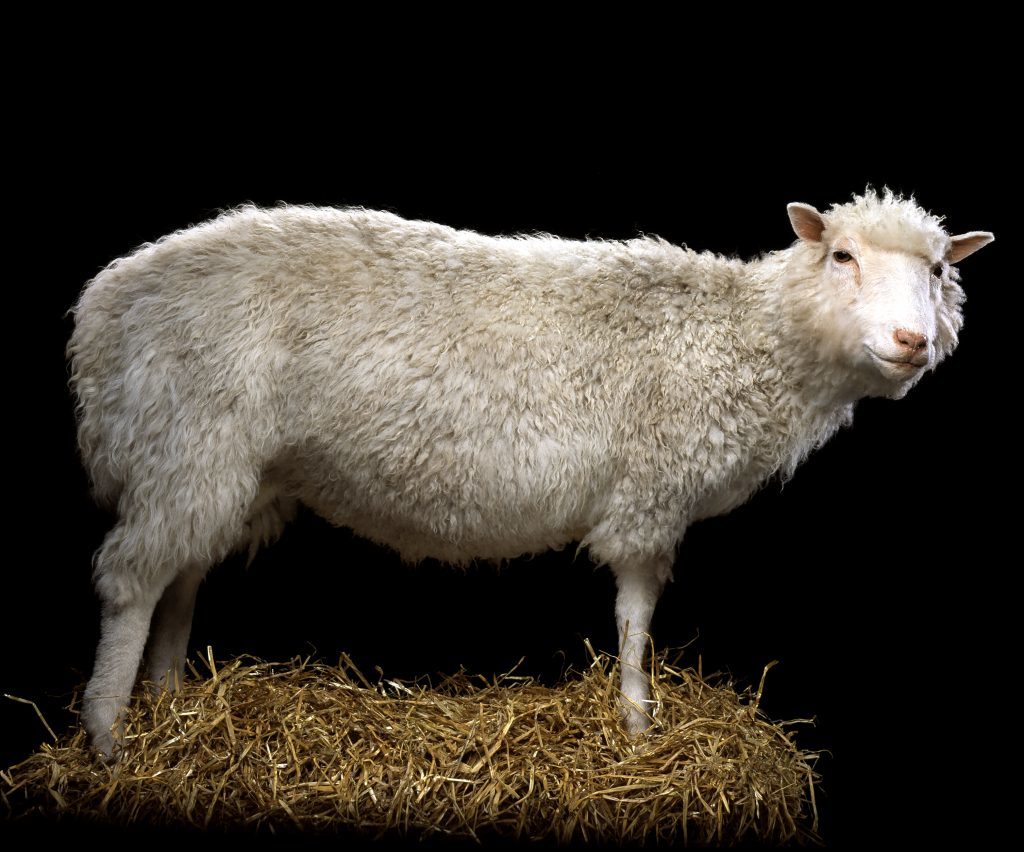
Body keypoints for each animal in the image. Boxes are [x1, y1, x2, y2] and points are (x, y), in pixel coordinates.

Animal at [68, 190, 993, 756]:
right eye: (841, 256)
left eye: (940, 271)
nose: (911, 341)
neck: (739, 338)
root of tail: (104, 310)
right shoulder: (649, 494)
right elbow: (633, 620)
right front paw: (637, 729)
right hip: (186, 434)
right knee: (130, 583)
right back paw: (112, 740)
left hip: (215, 464)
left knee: (182, 574)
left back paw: (172, 706)